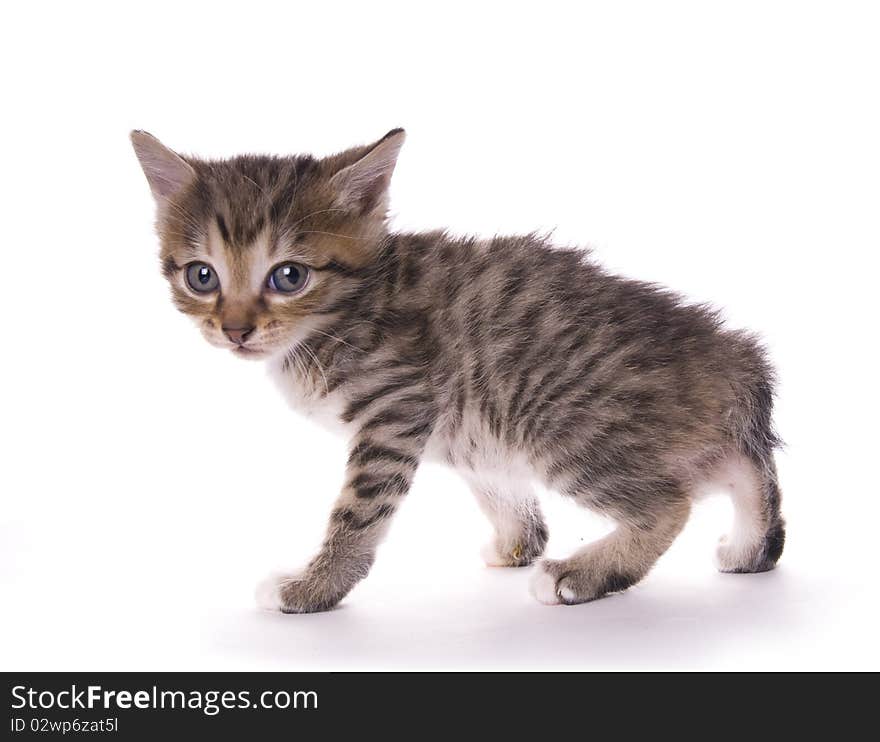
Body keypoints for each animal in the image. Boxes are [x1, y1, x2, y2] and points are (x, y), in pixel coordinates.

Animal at [129, 129, 784, 616]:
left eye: (289, 276)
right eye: (202, 276)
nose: (235, 329)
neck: (338, 317)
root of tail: (726, 352)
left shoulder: (398, 407)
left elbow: (358, 513)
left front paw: (315, 587)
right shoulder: (467, 430)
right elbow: (498, 487)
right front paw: (518, 541)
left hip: (564, 425)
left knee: (670, 503)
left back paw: (585, 574)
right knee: (741, 466)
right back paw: (751, 546)